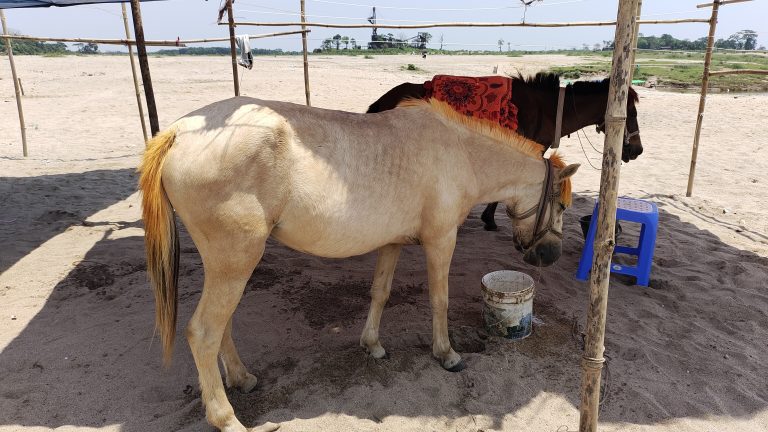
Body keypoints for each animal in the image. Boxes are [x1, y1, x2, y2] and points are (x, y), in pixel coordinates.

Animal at [138, 97, 576, 432]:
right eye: (562, 204)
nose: (549, 255)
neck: (459, 151)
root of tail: (179, 132)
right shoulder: (441, 241)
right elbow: (440, 300)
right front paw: (447, 354)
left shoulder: (392, 243)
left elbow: (379, 293)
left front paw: (373, 345)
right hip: (236, 260)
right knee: (203, 332)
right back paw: (226, 418)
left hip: (228, 265)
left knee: (221, 326)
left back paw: (242, 379)